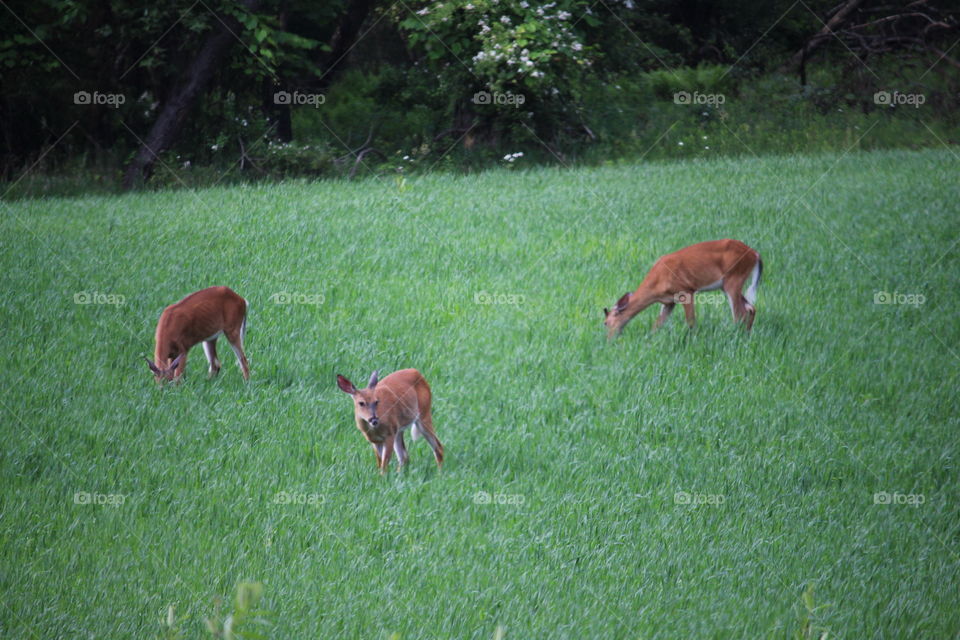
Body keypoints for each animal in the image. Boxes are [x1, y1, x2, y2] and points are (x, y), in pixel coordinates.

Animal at [604, 240, 760, 340]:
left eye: (605, 323)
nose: (609, 340)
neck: (657, 283)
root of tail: (755, 254)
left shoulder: (686, 290)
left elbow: (690, 321)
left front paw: (693, 340)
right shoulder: (669, 302)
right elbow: (657, 324)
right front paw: (650, 340)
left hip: (733, 278)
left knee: (740, 313)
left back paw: (736, 336)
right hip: (728, 284)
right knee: (751, 307)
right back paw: (747, 335)